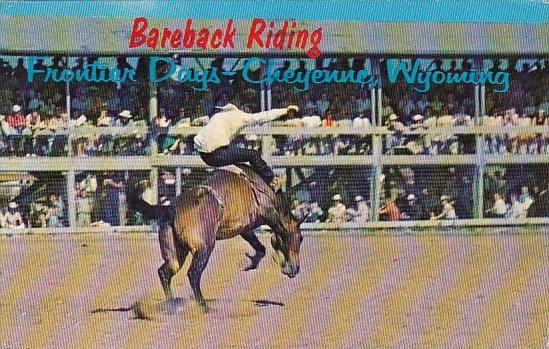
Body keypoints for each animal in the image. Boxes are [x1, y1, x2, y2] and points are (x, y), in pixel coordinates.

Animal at [127, 164, 304, 312]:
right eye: (301, 238)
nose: (296, 269)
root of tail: (171, 208)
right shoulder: (268, 213)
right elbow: (281, 232)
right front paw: (282, 262)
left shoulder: (245, 228)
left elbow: (260, 247)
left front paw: (252, 263)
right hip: (204, 248)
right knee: (193, 274)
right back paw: (204, 306)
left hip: (176, 253)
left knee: (164, 272)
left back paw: (172, 305)